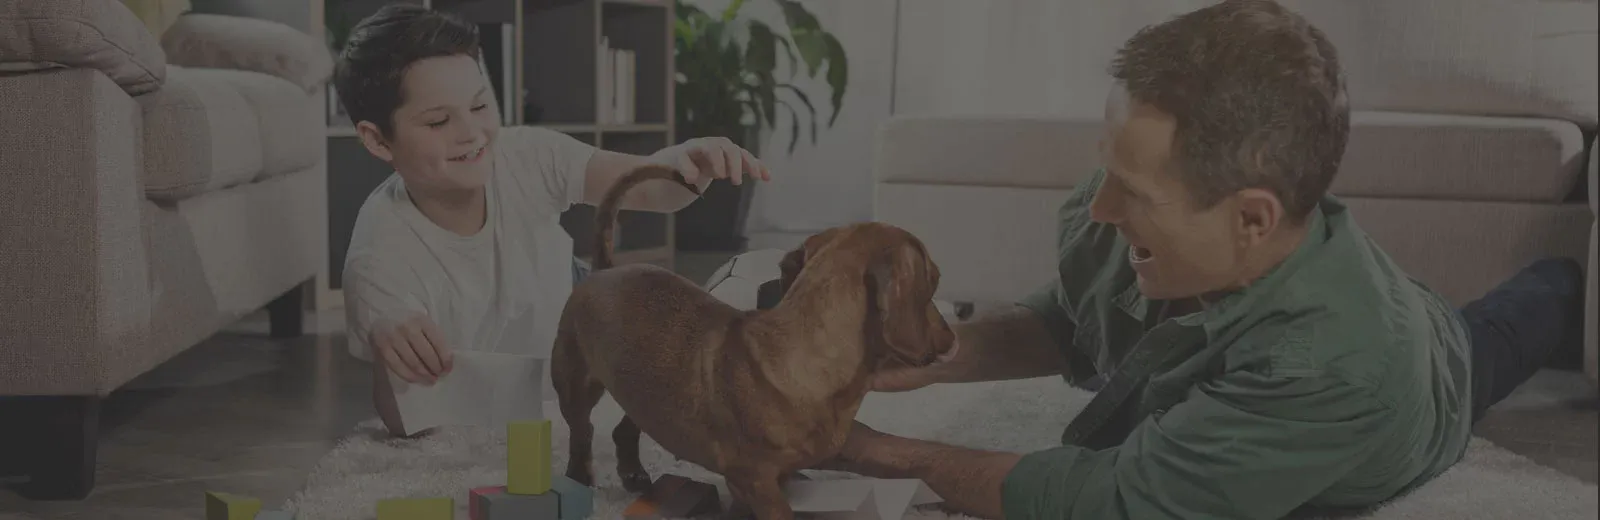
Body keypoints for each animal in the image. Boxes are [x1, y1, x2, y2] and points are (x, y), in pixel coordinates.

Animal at [550, 164, 953, 515]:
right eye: (933, 282)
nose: (952, 339)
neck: (800, 353)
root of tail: (604, 268)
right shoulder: (753, 480)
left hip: (642, 390)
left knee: (625, 429)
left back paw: (633, 472)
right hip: (576, 384)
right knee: (582, 433)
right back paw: (579, 477)